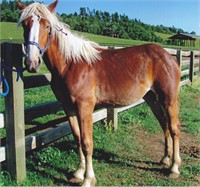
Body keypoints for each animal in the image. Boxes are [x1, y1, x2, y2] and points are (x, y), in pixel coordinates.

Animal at [18, 1, 182, 186]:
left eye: (47, 26)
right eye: (25, 25)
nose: (32, 62)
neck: (71, 65)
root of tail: (169, 56)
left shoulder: (85, 108)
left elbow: (87, 143)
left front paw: (88, 179)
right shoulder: (69, 108)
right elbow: (77, 139)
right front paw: (78, 173)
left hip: (169, 99)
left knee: (174, 128)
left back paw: (174, 168)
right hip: (153, 99)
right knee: (164, 125)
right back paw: (165, 159)